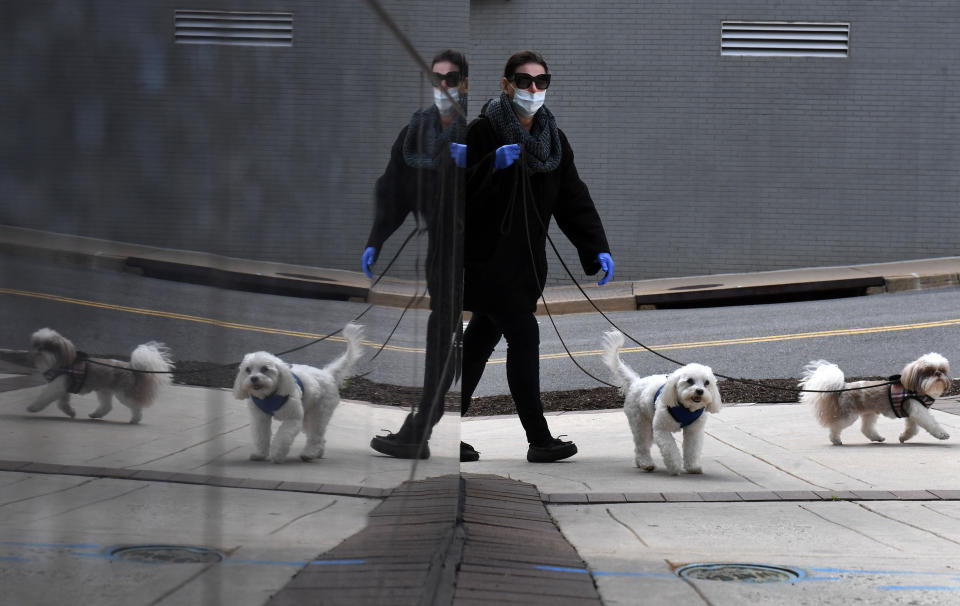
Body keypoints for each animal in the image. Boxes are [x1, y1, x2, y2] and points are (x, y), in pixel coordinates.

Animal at [27, 330, 174, 426]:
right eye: (36, 344)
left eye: (49, 346)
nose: (39, 349)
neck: (64, 362)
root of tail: (132, 368)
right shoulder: (62, 387)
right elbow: (63, 404)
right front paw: (70, 412)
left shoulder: (57, 386)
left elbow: (44, 397)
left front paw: (33, 407)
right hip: (104, 391)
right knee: (107, 406)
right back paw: (95, 415)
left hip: (123, 395)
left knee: (136, 406)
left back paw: (135, 419)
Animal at [232, 326, 364, 464]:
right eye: (247, 370)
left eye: (265, 369)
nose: (254, 378)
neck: (269, 395)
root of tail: (327, 374)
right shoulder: (260, 418)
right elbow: (261, 436)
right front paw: (260, 454)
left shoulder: (293, 418)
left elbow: (283, 436)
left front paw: (277, 454)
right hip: (307, 416)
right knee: (319, 437)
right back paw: (317, 453)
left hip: (319, 413)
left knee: (315, 436)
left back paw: (309, 454)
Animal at [600, 330, 720, 478]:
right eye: (690, 381)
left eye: (707, 383)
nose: (699, 391)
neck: (685, 408)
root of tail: (636, 382)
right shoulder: (661, 430)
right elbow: (670, 449)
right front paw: (675, 467)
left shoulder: (694, 431)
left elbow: (692, 449)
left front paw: (693, 467)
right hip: (640, 423)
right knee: (642, 445)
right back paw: (646, 463)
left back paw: (640, 463)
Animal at [800, 356, 948, 446]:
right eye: (928, 371)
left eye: (942, 370)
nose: (938, 374)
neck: (915, 389)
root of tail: (842, 387)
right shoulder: (918, 411)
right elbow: (931, 423)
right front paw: (942, 434)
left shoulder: (913, 412)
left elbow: (912, 429)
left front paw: (903, 437)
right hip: (849, 415)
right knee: (835, 426)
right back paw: (835, 440)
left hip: (869, 413)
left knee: (866, 428)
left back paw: (877, 438)